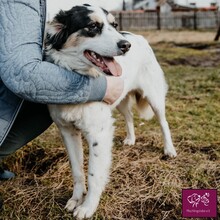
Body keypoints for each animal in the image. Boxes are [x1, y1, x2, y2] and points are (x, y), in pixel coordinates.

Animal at [44, 3, 177, 220]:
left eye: (114, 25)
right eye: (92, 27)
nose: (126, 46)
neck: (78, 77)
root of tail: (136, 36)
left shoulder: (98, 133)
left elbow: (94, 174)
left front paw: (88, 207)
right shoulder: (67, 131)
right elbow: (77, 170)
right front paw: (76, 199)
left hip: (154, 96)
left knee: (163, 123)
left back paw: (169, 149)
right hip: (119, 98)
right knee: (129, 117)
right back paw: (131, 139)